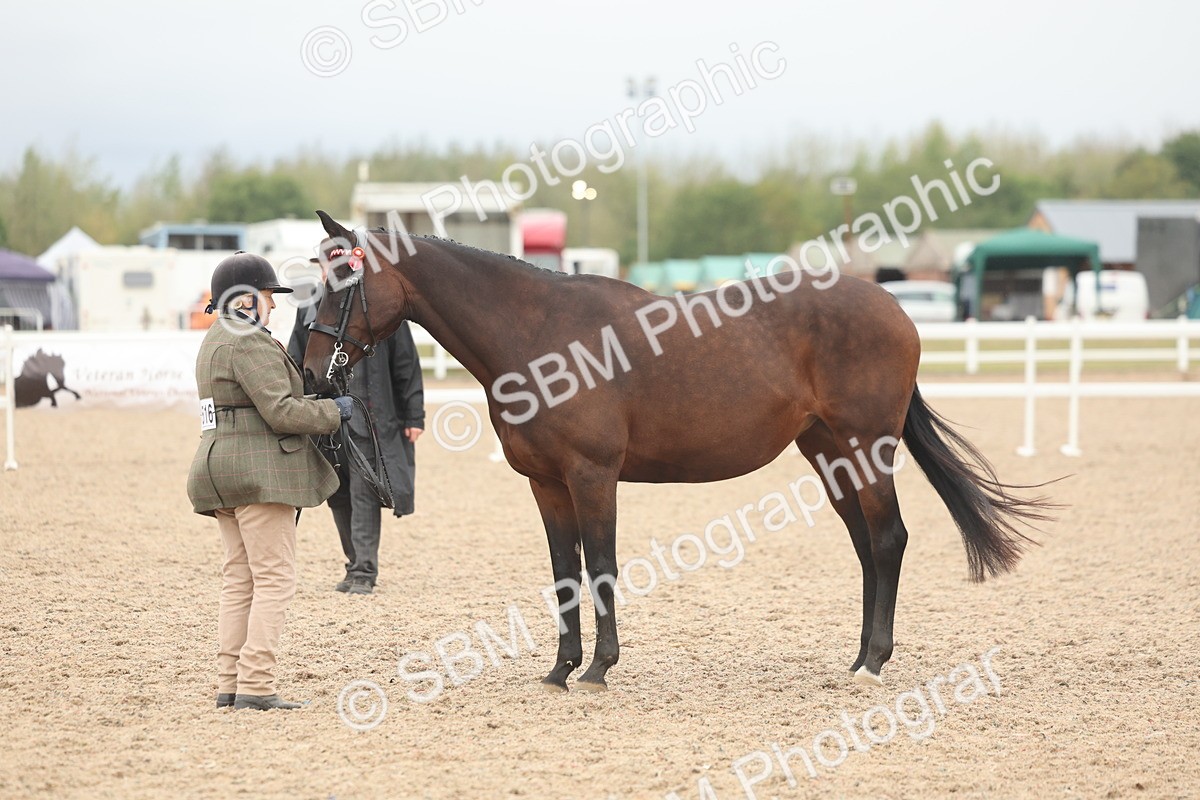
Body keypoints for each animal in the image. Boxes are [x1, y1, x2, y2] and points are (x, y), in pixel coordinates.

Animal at [302, 210, 1053, 691]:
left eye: (344, 284)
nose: (312, 373)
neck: (538, 334)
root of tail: (895, 310)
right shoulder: (547, 485)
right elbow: (565, 572)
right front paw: (559, 669)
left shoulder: (593, 477)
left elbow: (601, 566)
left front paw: (599, 668)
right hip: (829, 454)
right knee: (868, 547)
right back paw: (858, 657)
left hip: (868, 448)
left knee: (890, 539)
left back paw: (874, 663)